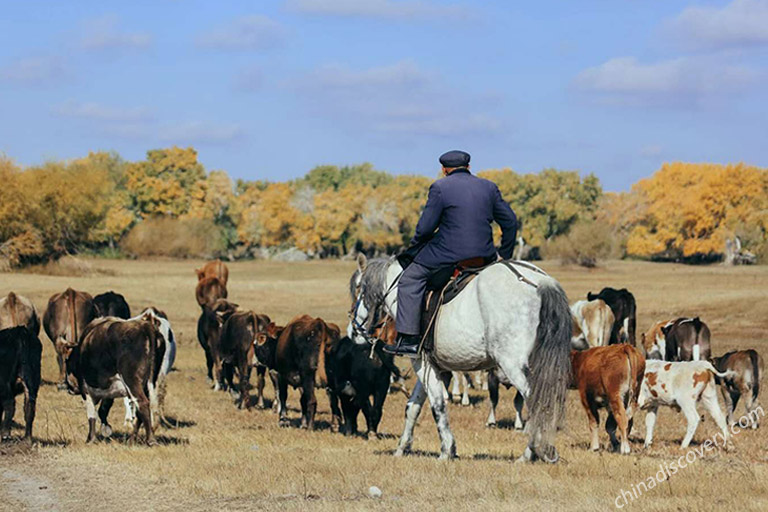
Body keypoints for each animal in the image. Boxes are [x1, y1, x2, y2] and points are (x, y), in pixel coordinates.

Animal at [348, 258, 568, 462]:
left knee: (537, 403)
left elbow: (437, 405)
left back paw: (529, 453)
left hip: (513, 365)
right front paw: (402, 448)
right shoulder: (430, 366)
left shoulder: (421, 363)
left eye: (360, 288)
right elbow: (412, 407)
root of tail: (541, 282)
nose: (353, 331)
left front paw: (447, 450)